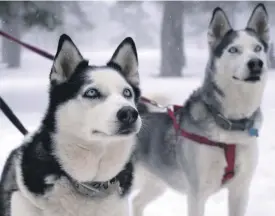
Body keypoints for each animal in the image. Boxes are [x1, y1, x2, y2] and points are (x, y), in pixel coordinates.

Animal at [134, 3, 272, 216]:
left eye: (258, 48)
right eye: (234, 49)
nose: (256, 63)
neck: (230, 122)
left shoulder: (240, 189)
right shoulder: (197, 193)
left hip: (157, 182)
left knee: (136, 202)